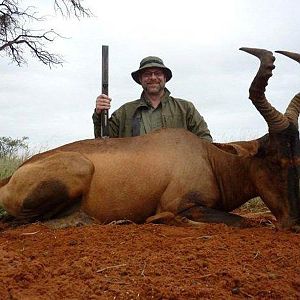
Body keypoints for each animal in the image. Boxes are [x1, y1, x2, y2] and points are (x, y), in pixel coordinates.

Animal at [0, 48, 298, 230]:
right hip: (77, 169)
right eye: (274, 160)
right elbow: (241, 221)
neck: (208, 157)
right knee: (19, 223)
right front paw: (160, 220)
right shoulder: (181, 204)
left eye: (298, 158)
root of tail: (11, 176)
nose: (294, 222)